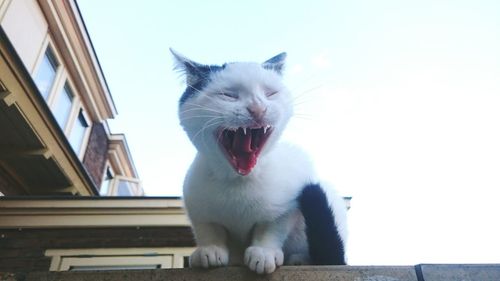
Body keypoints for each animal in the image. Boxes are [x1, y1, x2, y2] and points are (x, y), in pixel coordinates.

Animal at [170, 49, 346, 272]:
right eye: (228, 95)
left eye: (270, 93)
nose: (257, 109)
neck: (238, 182)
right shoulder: (198, 210)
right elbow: (209, 230)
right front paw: (210, 249)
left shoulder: (285, 206)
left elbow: (271, 230)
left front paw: (264, 252)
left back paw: (299, 259)